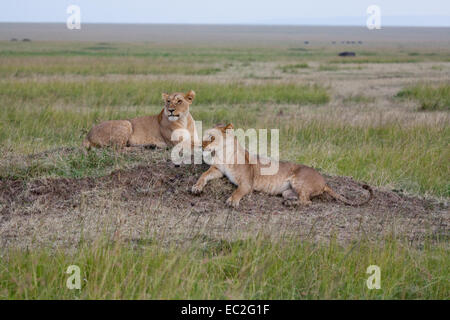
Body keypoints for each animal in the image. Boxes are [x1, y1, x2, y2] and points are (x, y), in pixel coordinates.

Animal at [192, 124, 370, 209]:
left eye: (211, 138)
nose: (200, 145)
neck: (223, 154)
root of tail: (325, 181)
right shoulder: (217, 170)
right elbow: (203, 175)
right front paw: (196, 187)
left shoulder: (248, 183)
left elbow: (239, 191)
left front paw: (232, 201)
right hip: (287, 191)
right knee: (302, 199)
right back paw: (289, 202)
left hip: (299, 180)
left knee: (308, 202)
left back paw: (291, 205)